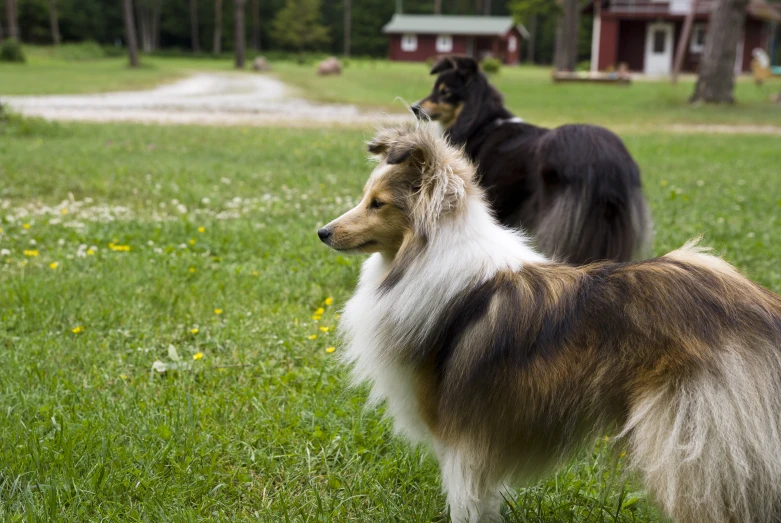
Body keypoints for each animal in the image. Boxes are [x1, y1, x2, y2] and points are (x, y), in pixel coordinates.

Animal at [316, 124, 780, 523]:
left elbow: (465, 503)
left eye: (378, 203)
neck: (421, 257)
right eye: (366, 196)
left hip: (696, 445)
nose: (322, 232)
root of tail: (758, 305)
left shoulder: (460, 436)